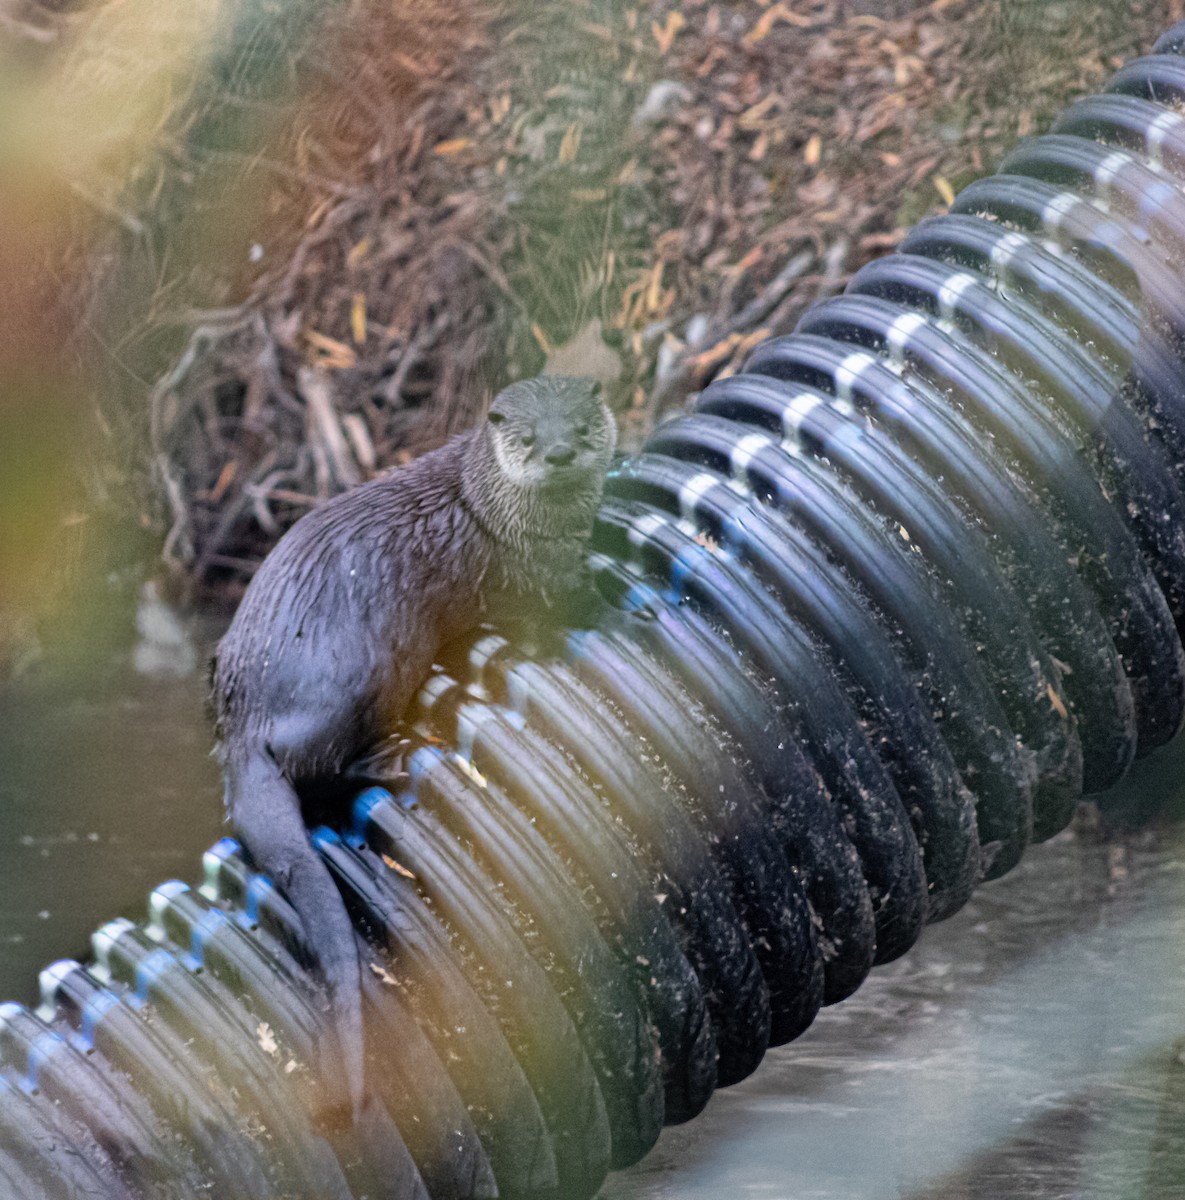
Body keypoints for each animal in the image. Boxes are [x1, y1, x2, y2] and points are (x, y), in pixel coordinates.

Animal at [211, 376, 616, 1124]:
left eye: (578, 423)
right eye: (528, 437)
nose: (559, 452)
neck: (499, 512)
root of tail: (243, 722)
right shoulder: (531, 576)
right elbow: (569, 607)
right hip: (363, 668)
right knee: (320, 771)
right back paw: (393, 757)